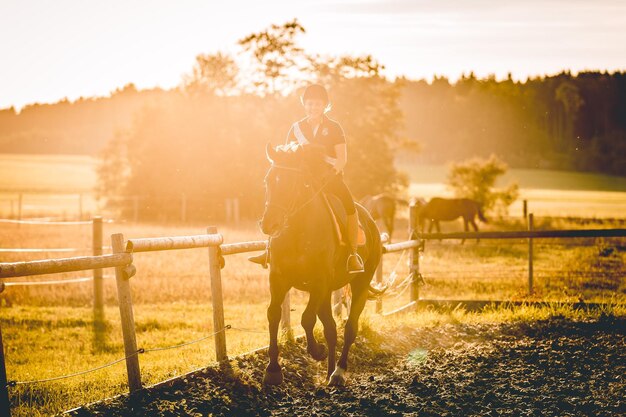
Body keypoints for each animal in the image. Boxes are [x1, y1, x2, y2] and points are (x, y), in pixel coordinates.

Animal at [258, 145, 380, 386]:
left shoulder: (319, 282)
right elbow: (273, 314)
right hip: (326, 293)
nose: (269, 224)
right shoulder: (278, 278)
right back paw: (329, 372)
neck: (298, 231)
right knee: (331, 329)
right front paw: (273, 369)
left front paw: (317, 351)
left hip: (360, 284)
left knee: (350, 328)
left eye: (291, 182)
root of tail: (371, 222)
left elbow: (306, 318)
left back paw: (338, 372)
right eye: (268, 180)